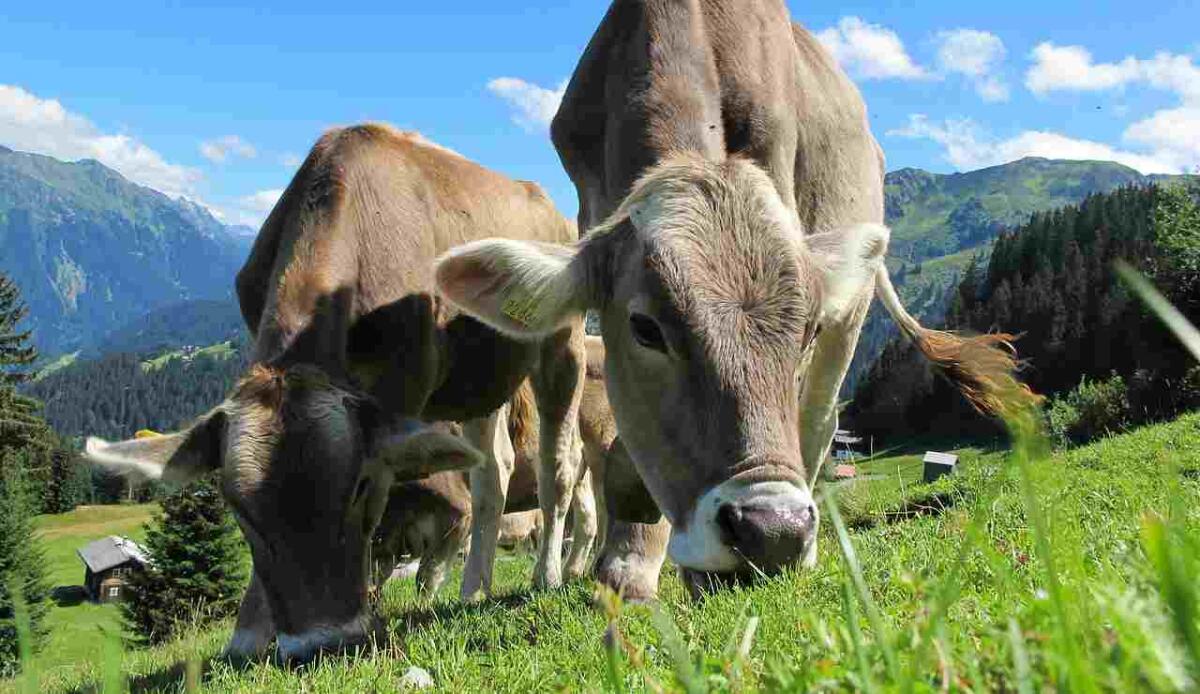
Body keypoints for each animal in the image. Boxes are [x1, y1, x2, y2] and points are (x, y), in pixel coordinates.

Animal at [83, 124, 587, 663]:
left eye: (361, 486)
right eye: (238, 509)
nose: (321, 644)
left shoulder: (403, 390)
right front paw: (249, 632)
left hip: (563, 344)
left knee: (558, 465)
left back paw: (548, 575)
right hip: (480, 381)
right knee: (493, 471)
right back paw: (474, 587)